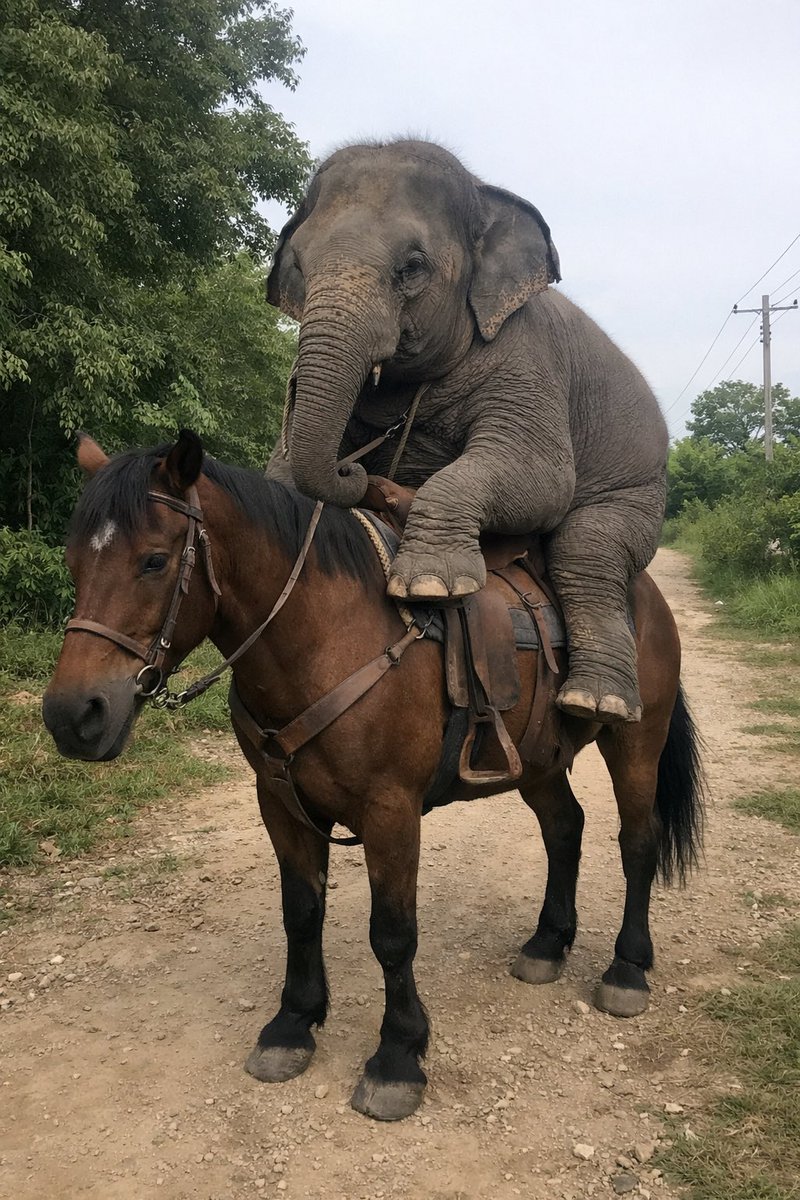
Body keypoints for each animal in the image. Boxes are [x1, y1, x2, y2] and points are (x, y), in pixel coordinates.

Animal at [43, 429, 704, 1122]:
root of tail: (645, 594)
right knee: (565, 829)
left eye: (153, 561)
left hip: (636, 742)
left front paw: (398, 1056)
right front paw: (292, 1024)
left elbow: (392, 934)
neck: (328, 636)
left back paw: (626, 970)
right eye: (73, 561)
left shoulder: (391, 811)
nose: (73, 715)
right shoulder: (280, 804)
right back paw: (547, 945)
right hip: (538, 760)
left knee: (637, 843)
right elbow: (302, 912)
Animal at [265, 139, 668, 724]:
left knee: (586, 551)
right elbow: (278, 472)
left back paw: (598, 702)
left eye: (412, 267)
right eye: (298, 264)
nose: (354, 468)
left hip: (639, 490)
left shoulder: (527, 359)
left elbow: (544, 480)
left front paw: (430, 584)